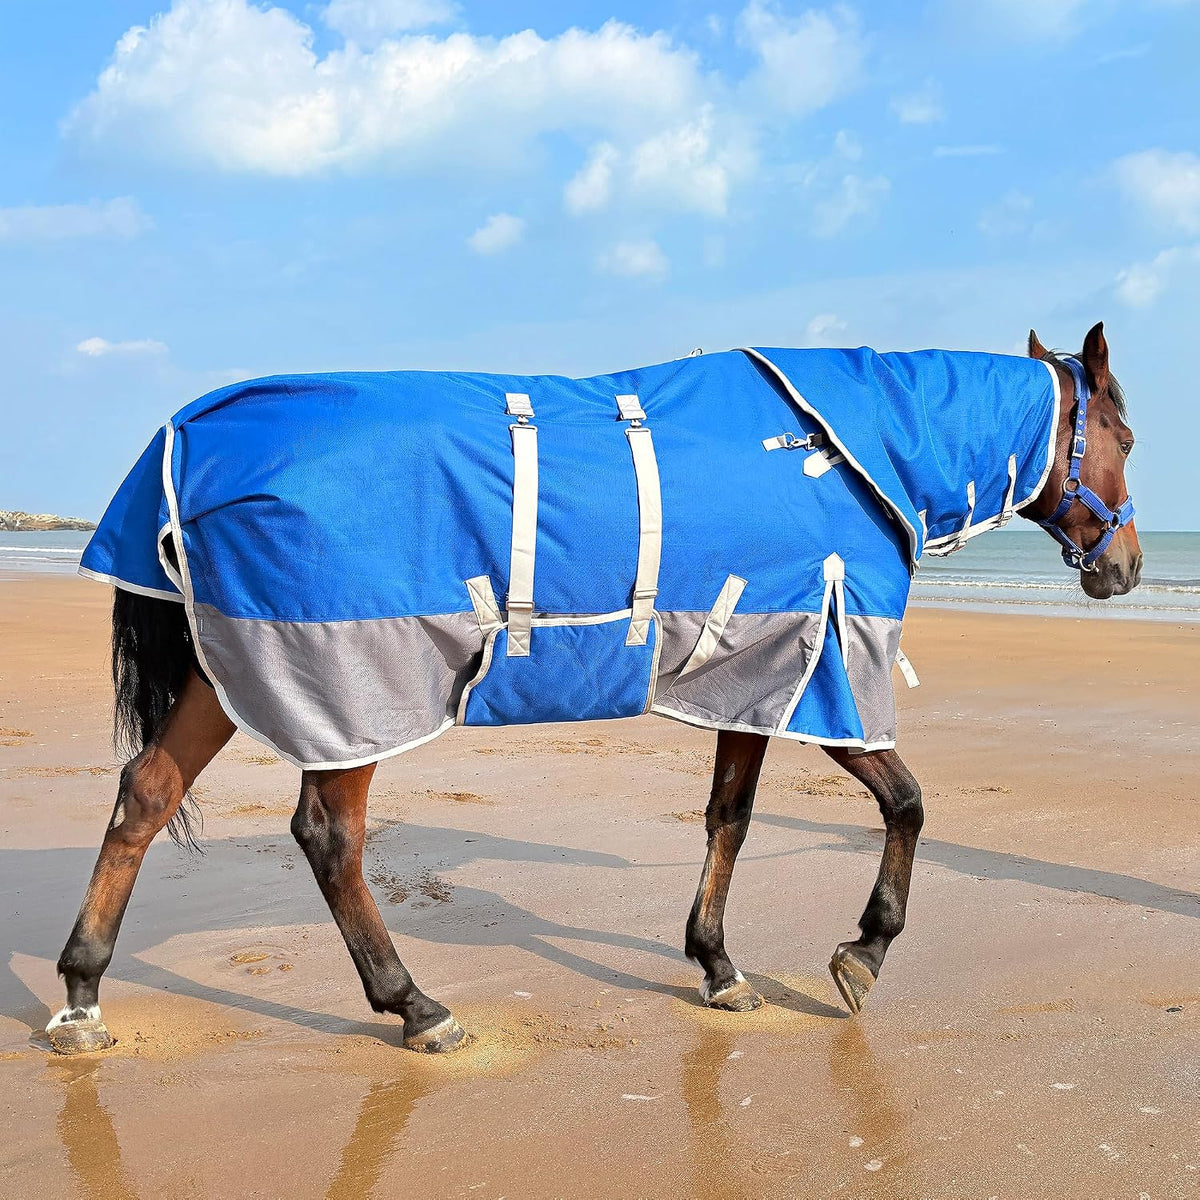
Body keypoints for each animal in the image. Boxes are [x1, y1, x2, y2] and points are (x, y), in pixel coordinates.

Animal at [46, 322, 1140, 1056]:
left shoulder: (753, 673)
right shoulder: (827, 666)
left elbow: (730, 818)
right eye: (1124, 439)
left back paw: (82, 993)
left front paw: (718, 965)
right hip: (352, 691)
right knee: (329, 838)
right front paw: (863, 951)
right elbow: (908, 803)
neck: (835, 457)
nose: (1127, 568)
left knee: (146, 795)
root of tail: (187, 434)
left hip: (227, 675)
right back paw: (415, 1005)